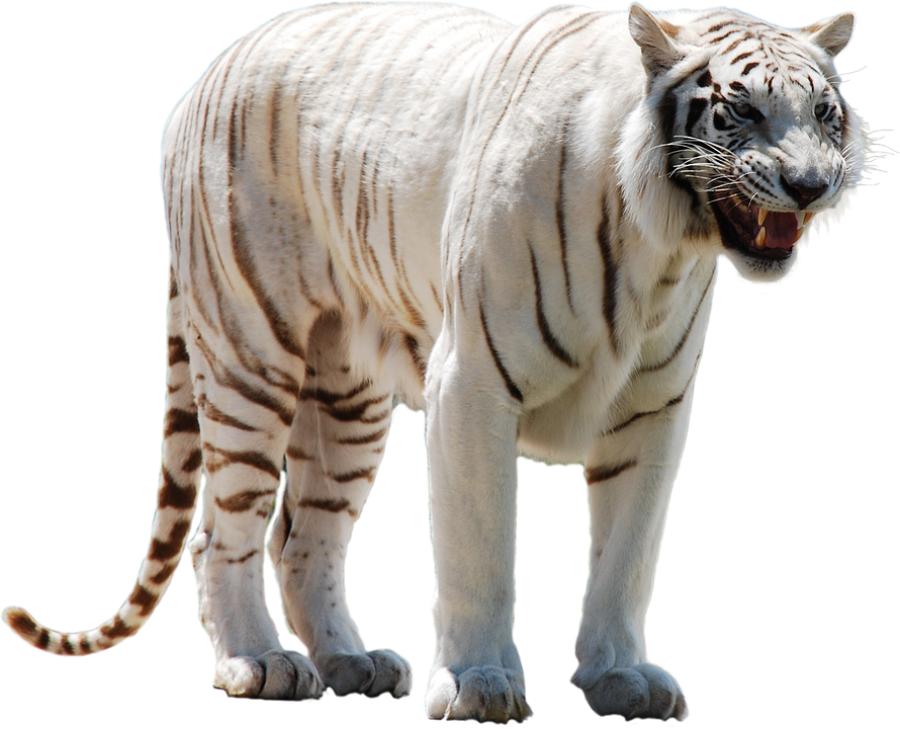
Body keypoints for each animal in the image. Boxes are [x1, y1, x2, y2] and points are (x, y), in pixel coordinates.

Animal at [1, 1, 888, 722]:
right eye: (740, 110)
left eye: (823, 112)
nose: (811, 184)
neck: (659, 246)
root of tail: (208, 73)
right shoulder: (474, 382)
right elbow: (480, 545)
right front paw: (479, 685)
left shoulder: (652, 407)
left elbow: (629, 551)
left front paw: (620, 676)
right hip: (251, 351)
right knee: (223, 531)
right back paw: (259, 662)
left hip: (347, 398)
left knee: (302, 536)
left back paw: (351, 662)